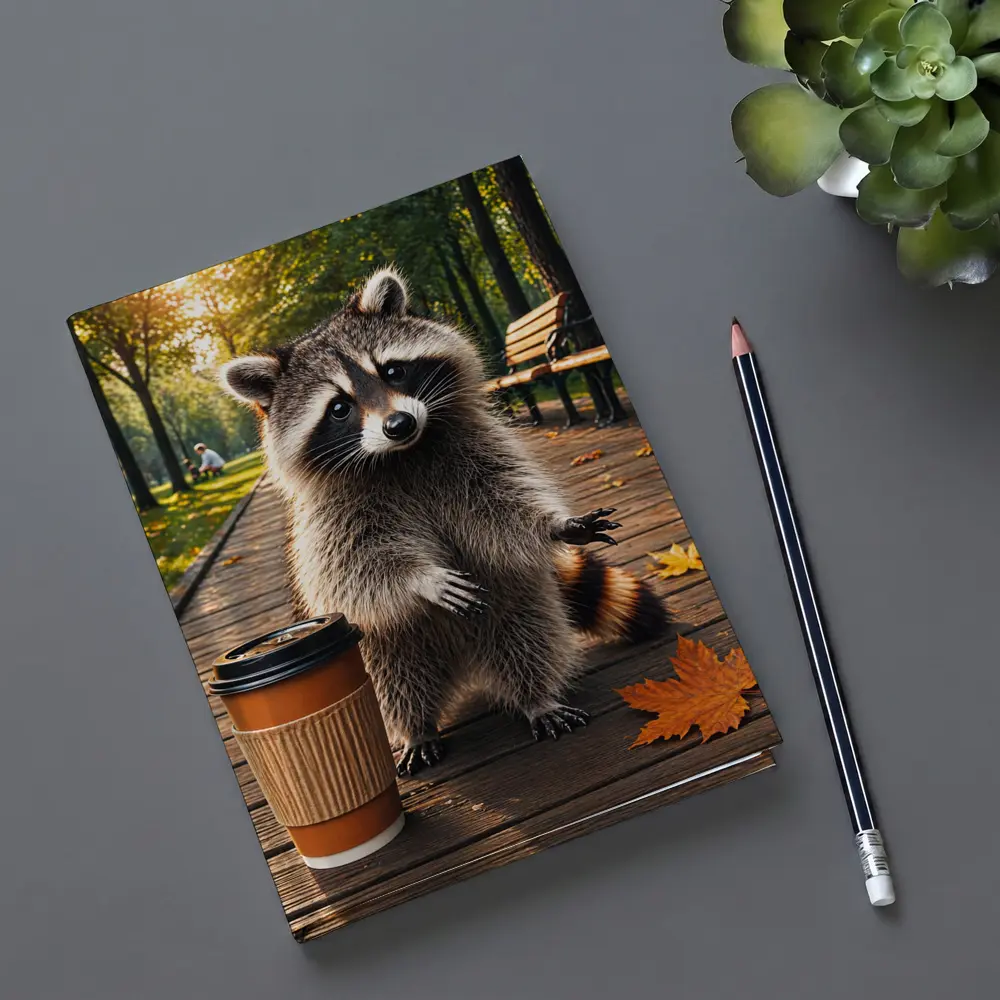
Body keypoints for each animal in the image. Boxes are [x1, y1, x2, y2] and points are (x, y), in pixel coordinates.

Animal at [220, 267, 670, 775]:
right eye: (338, 408)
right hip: (382, 642)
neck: (401, 456)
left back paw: (536, 696)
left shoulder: (469, 452)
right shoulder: (333, 512)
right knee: (394, 675)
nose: (398, 424)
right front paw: (423, 579)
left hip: (513, 596)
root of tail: (463, 661)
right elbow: (356, 566)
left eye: (392, 370)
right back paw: (417, 726)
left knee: (527, 633)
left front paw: (552, 524)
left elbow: (502, 503)